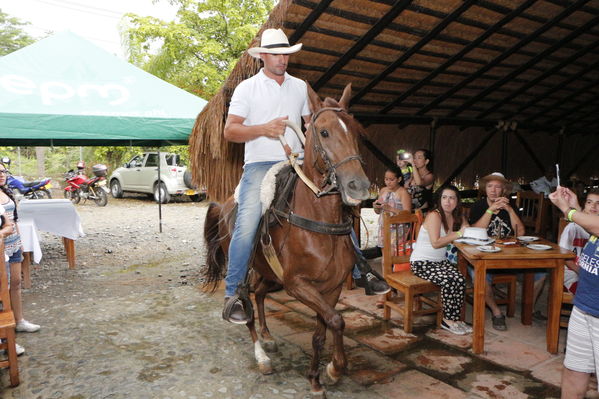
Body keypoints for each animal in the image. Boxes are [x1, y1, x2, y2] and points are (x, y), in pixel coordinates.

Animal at [203, 83, 370, 396]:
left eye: (355, 131)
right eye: (324, 132)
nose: (359, 186)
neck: (318, 220)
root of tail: (224, 205)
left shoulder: (331, 287)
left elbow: (325, 328)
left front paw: (320, 375)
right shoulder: (297, 284)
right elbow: (337, 320)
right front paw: (332, 369)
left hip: (268, 273)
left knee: (259, 294)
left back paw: (268, 337)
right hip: (245, 267)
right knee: (246, 304)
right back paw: (262, 355)